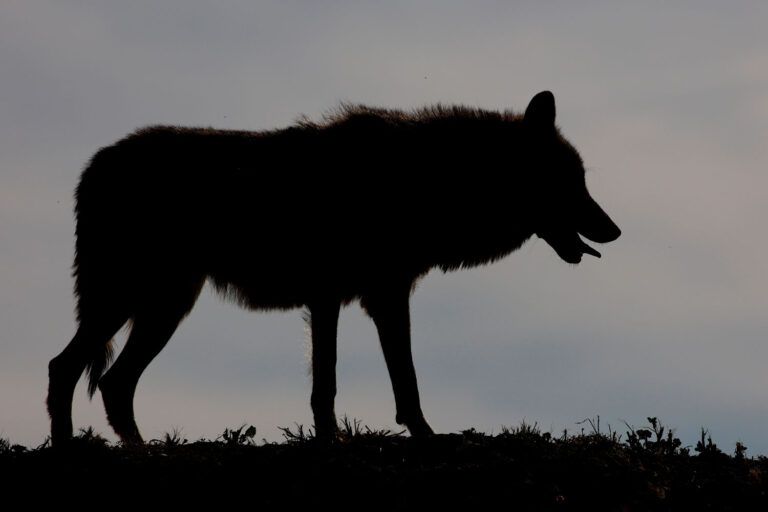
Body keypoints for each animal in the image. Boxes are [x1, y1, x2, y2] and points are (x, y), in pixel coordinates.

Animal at [47, 91, 620, 444]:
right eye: (573, 182)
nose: (614, 231)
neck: (427, 180)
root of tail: (94, 164)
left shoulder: (343, 299)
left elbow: (336, 385)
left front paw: (337, 439)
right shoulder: (372, 297)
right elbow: (389, 380)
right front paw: (422, 435)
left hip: (162, 307)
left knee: (111, 383)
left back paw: (138, 450)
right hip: (135, 304)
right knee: (65, 369)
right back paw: (71, 451)